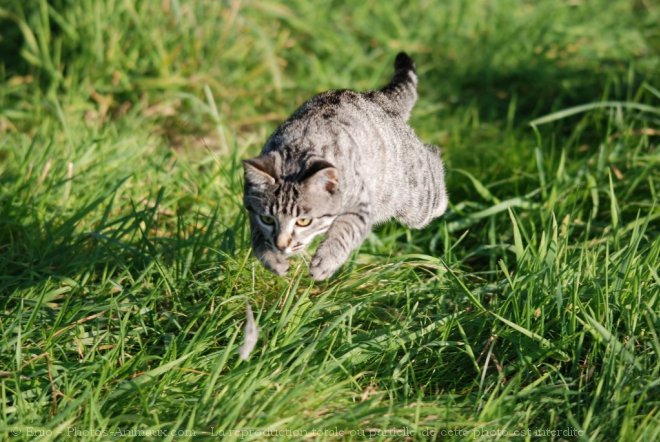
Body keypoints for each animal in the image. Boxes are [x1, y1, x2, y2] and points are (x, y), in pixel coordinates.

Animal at [242, 51, 448, 280]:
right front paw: (273, 259)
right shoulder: (250, 206)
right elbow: (258, 238)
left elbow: (344, 230)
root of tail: (378, 97)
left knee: (433, 156)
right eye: (268, 219)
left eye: (303, 221)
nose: (281, 245)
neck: (296, 153)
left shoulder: (360, 203)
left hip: (414, 199)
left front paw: (326, 261)